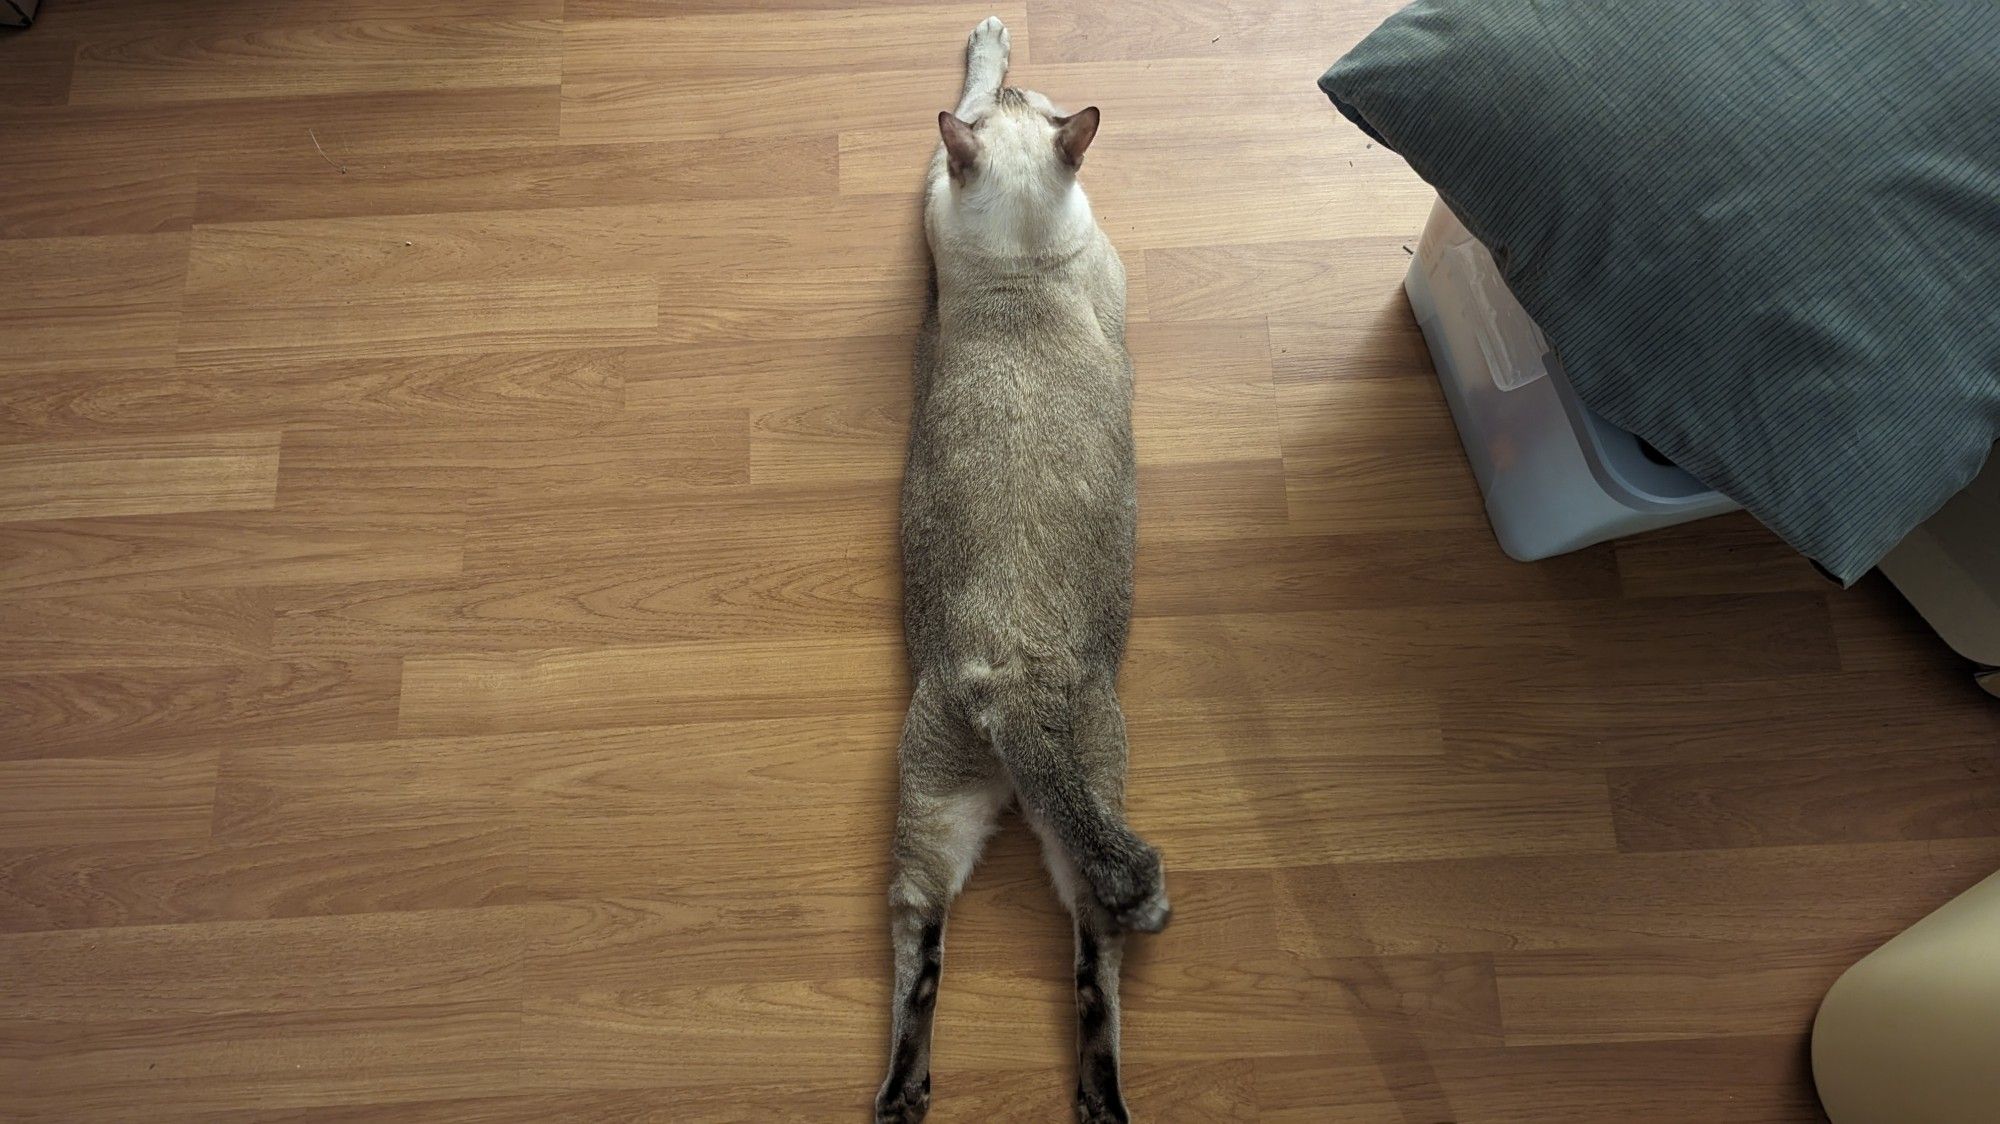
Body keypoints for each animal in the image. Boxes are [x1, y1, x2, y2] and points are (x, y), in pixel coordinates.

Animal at [876, 15, 1168, 1120]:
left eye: (1040, 106)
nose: (1041, 88)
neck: (1025, 262)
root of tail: (1013, 688)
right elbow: (967, 87)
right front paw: (994, 41)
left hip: (954, 800)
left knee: (957, 946)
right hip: (987, 797)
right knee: (1064, 951)